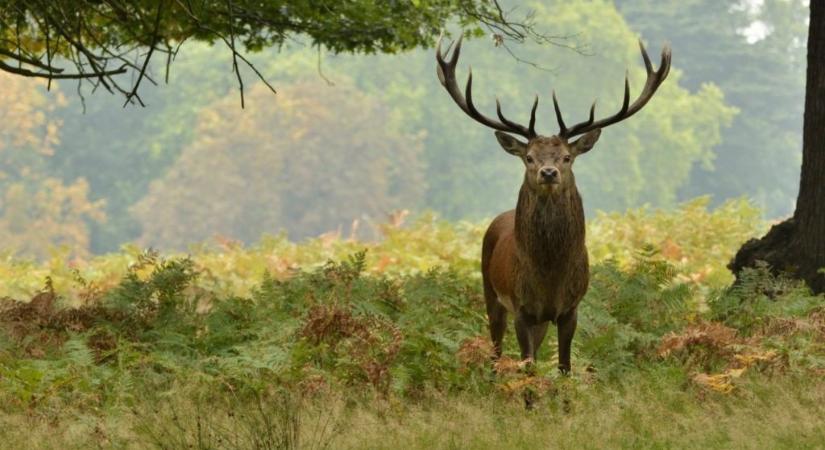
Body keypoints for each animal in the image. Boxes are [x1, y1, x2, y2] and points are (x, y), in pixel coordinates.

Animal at [434, 35, 672, 374]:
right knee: (495, 348)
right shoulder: (521, 308)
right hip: (491, 292)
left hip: (541, 320)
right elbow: (528, 366)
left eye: (567, 157)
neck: (549, 276)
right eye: (529, 157)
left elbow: (564, 367)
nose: (548, 172)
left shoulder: (570, 308)